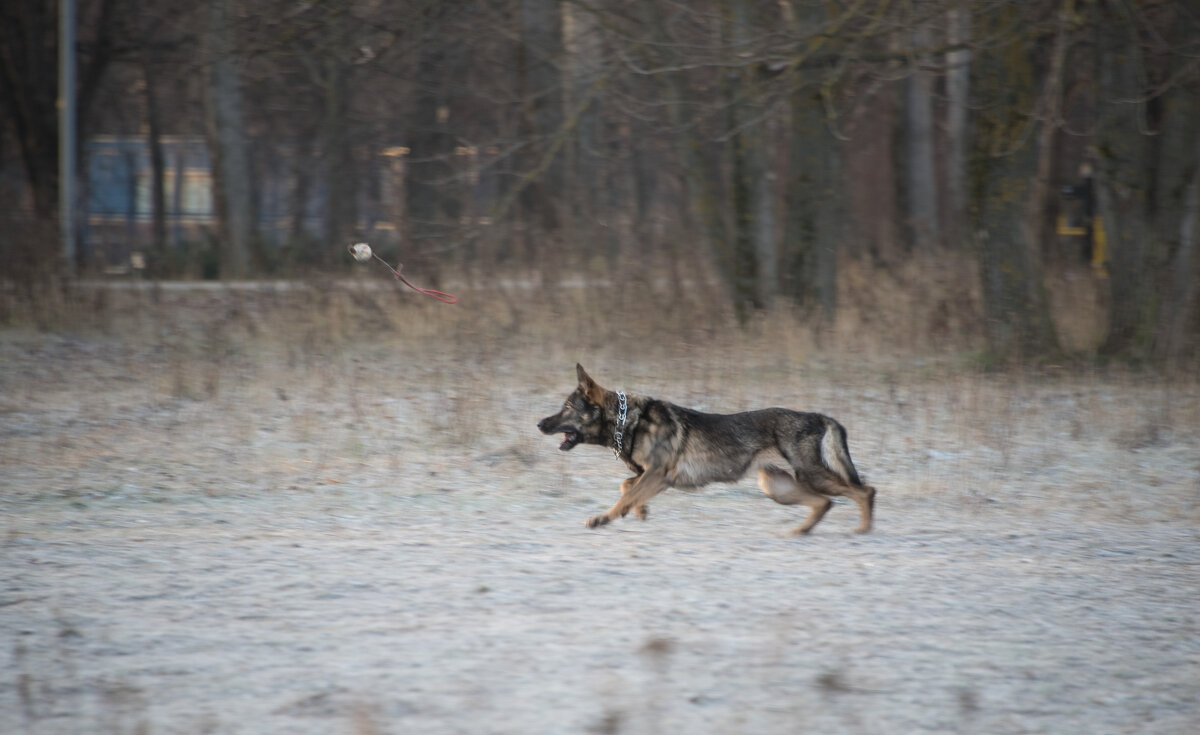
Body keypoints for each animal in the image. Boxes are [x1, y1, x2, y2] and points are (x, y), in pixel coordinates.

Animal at [540, 365, 878, 533]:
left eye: (567, 408)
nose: (540, 423)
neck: (628, 421)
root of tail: (819, 416)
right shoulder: (652, 477)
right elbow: (627, 488)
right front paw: (639, 510)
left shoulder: (657, 475)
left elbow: (624, 494)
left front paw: (603, 518)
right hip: (778, 487)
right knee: (824, 503)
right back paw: (800, 532)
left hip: (809, 476)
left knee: (865, 491)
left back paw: (862, 530)